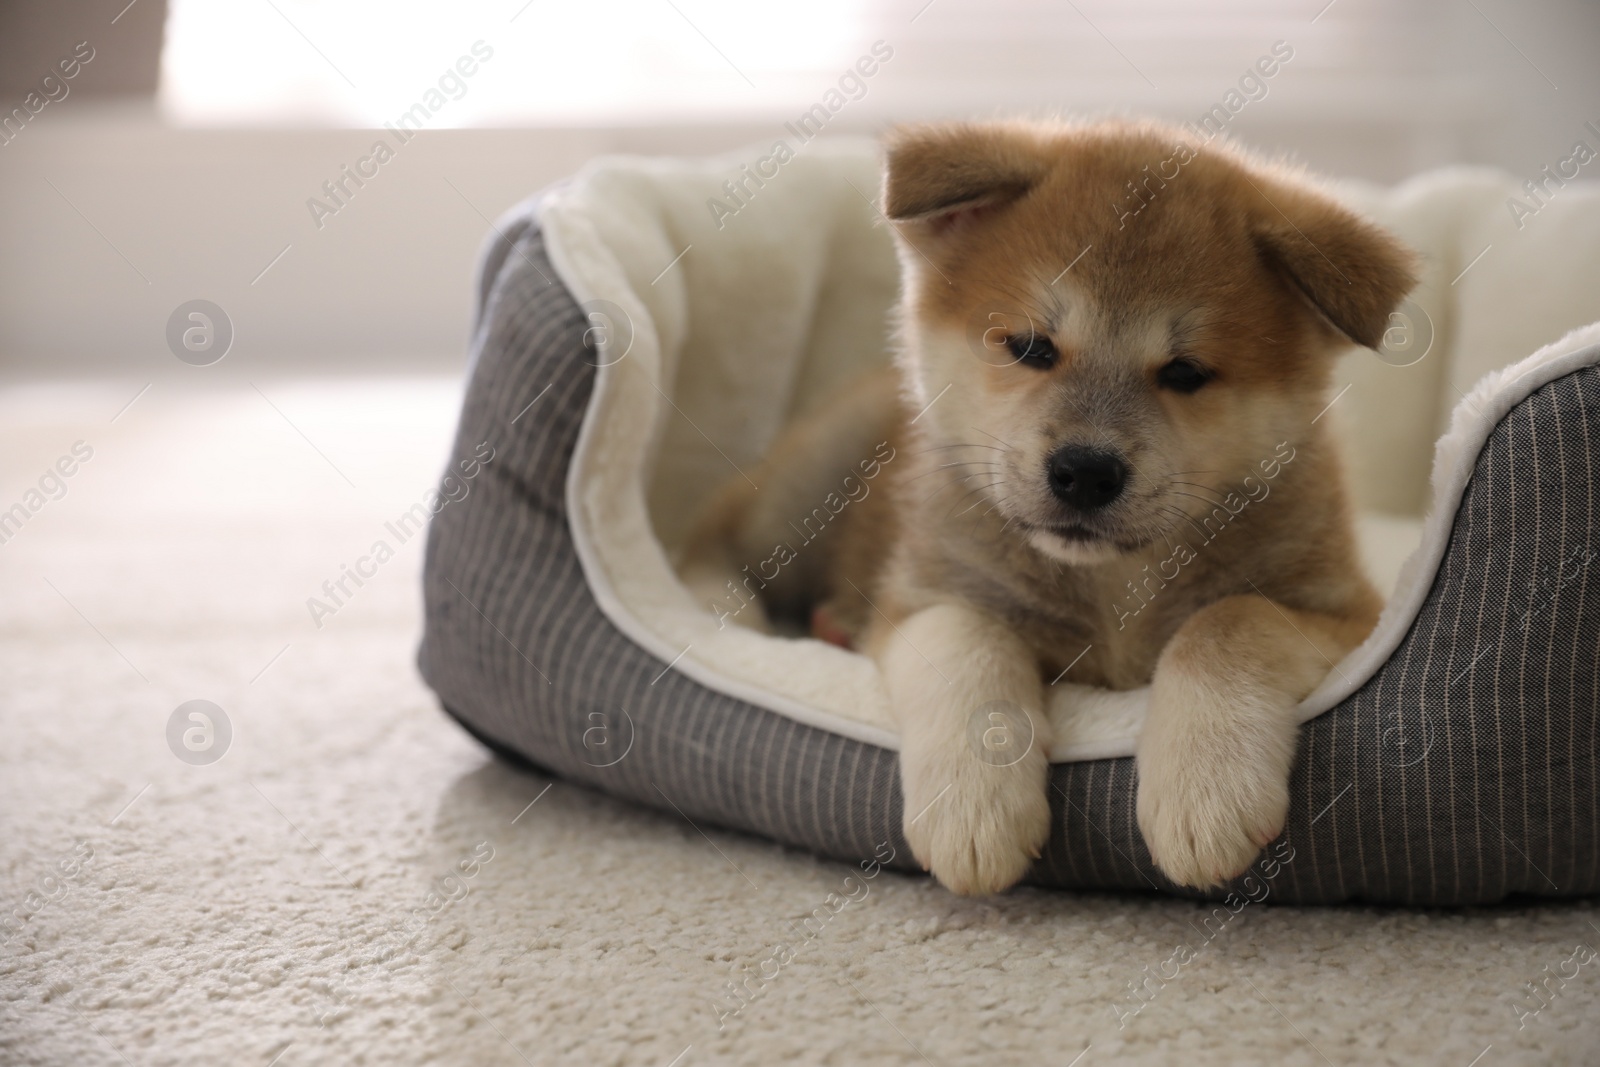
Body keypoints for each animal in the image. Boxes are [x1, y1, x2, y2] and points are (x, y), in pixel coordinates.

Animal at [681, 120, 1420, 895]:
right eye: (1031, 346)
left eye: (1186, 372)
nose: (1085, 472)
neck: (1113, 583)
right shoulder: (927, 597)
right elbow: (973, 645)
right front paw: (974, 808)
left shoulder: (1348, 615)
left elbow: (1227, 620)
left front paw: (1205, 787)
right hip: (809, 483)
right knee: (713, 535)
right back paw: (729, 609)